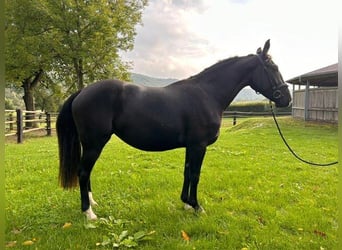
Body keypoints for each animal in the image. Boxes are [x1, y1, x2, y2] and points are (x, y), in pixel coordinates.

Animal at [56, 39, 292, 219]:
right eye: (273, 68)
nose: (286, 100)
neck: (207, 94)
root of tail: (82, 91)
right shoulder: (199, 146)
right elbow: (195, 174)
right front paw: (197, 206)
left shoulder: (191, 146)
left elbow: (187, 172)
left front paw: (186, 203)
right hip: (94, 144)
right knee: (83, 171)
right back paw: (89, 214)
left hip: (90, 144)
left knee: (86, 172)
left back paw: (92, 203)